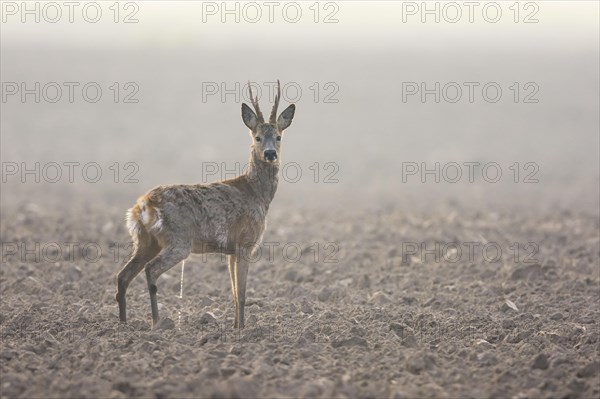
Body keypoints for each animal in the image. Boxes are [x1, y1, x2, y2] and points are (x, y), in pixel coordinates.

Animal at [115, 80, 296, 328]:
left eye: (279, 136)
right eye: (257, 137)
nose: (270, 154)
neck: (257, 194)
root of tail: (143, 205)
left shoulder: (231, 249)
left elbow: (234, 292)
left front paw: (235, 326)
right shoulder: (246, 242)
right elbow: (242, 293)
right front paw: (242, 329)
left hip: (145, 241)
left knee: (123, 275)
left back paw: (123, 324)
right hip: (179, 240)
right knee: (150, 270)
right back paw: (156, 322)